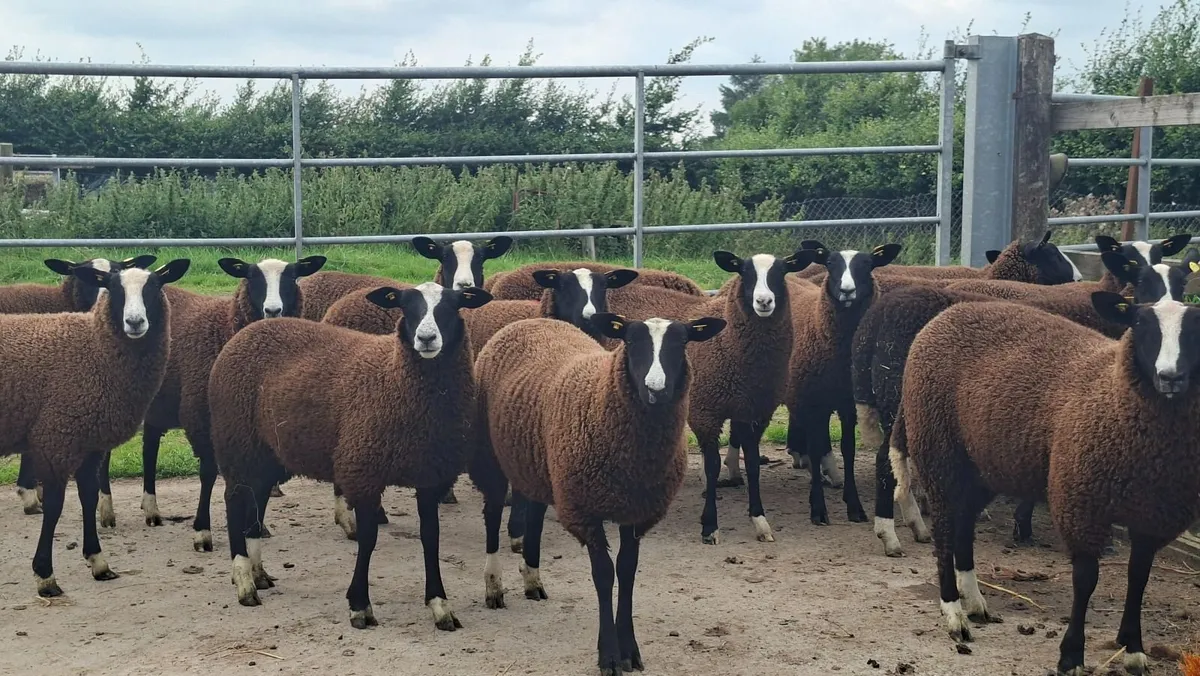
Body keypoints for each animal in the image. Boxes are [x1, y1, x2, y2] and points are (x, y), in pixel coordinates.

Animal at [139, 256, 326, 551]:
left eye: (292, 277)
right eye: (252, 277)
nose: (273, 310)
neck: (224, 327)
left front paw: (256, 527)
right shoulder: (201, 418)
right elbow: (208, 474)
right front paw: (202, 532)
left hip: (159, 406)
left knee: (149, 447)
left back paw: (151, 508)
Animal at [208, 282, 491, 631]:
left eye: (453, 305)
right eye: (405, 306)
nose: (426, 339)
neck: (395, 378)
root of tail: (246, 333)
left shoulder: (430, 476)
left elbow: (431, 538)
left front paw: (440, 605)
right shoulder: (363, 471)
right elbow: (368, 540)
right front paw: (360, 606)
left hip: (268, 452)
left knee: (256, 502)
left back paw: (258, 573)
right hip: (237, 441)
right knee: (234, 502)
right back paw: (244, 582)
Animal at [470, 312, 726, 675]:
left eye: (682, 342)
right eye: (631, 341)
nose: (656, 390)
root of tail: (531, 320)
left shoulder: (635, 510)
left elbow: (627, 571)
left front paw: (630, 650)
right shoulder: (585, 510)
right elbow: (604, 575)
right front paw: (609, 656)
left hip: (541, 463)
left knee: (534, 514)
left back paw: (532, 579)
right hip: (489, 454)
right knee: (492, 513)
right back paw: (494, 585)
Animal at [891, 294, 1200, 675]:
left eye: (1197, 330)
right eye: (1140, 325)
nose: (1171, 377)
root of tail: (946, 315)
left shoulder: (1153, 516)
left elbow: (1139, 578)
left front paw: (1134, 650)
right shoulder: (1080, 503)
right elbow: (1086, 580)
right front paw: (1071, 656)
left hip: (982, 465)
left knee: (963, 526)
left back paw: (975, 602)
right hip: (939, 450)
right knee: (946, 533)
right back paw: (954, 613)